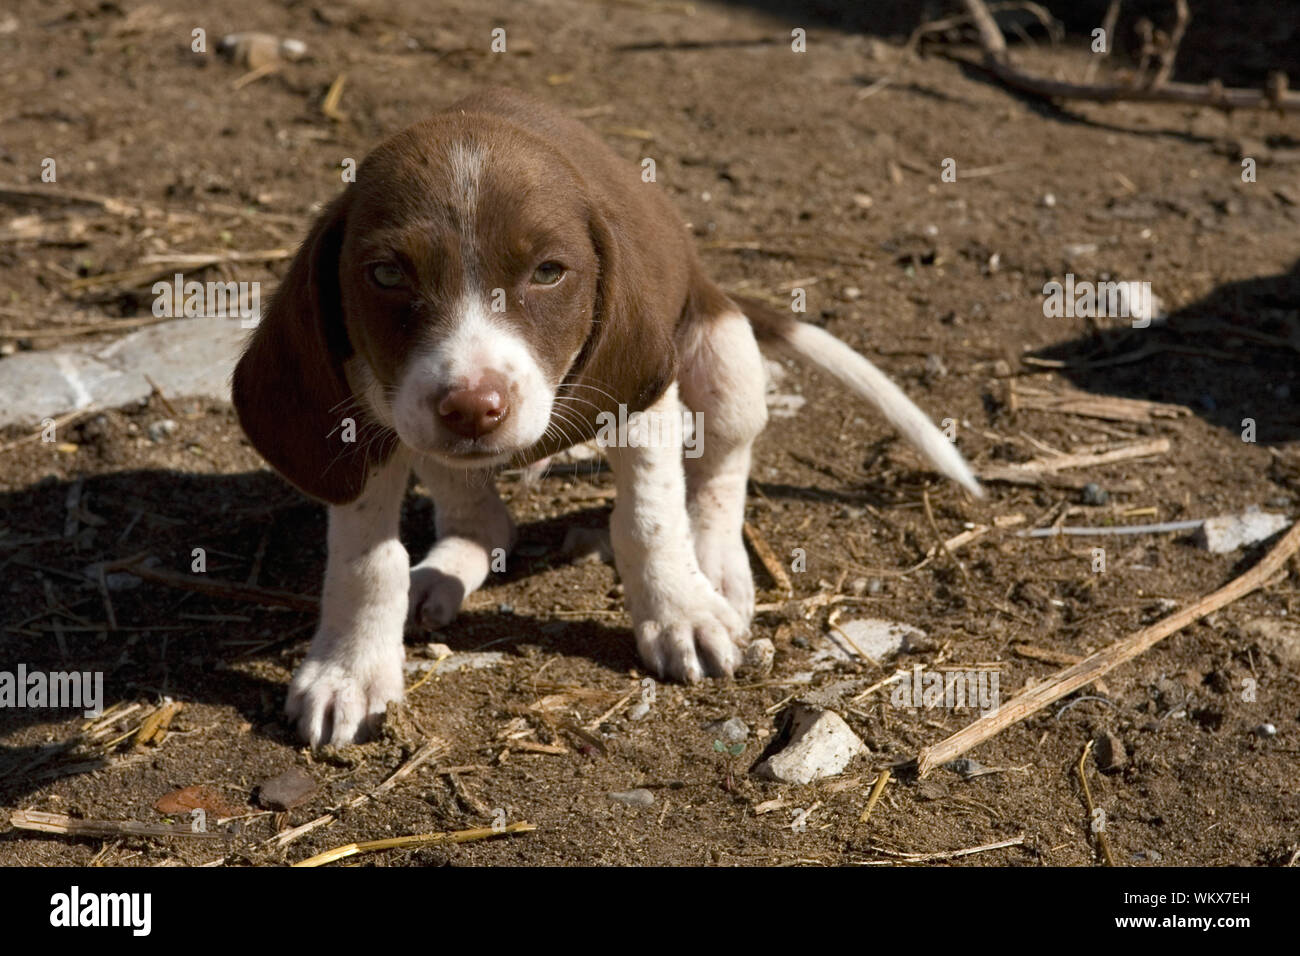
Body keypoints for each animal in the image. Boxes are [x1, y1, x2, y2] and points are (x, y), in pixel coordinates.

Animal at [236, 87, 982, 749]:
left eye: (548, 271)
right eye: (387, 275)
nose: (473, 406)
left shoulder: (643, 402)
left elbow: (649, 522)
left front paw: (680, 611)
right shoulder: (365, 415)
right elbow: (367, 560)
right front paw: (350, 670)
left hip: (721, 354)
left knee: (722, 466)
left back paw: (717, 565)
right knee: (482, 518)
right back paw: (443, 573)